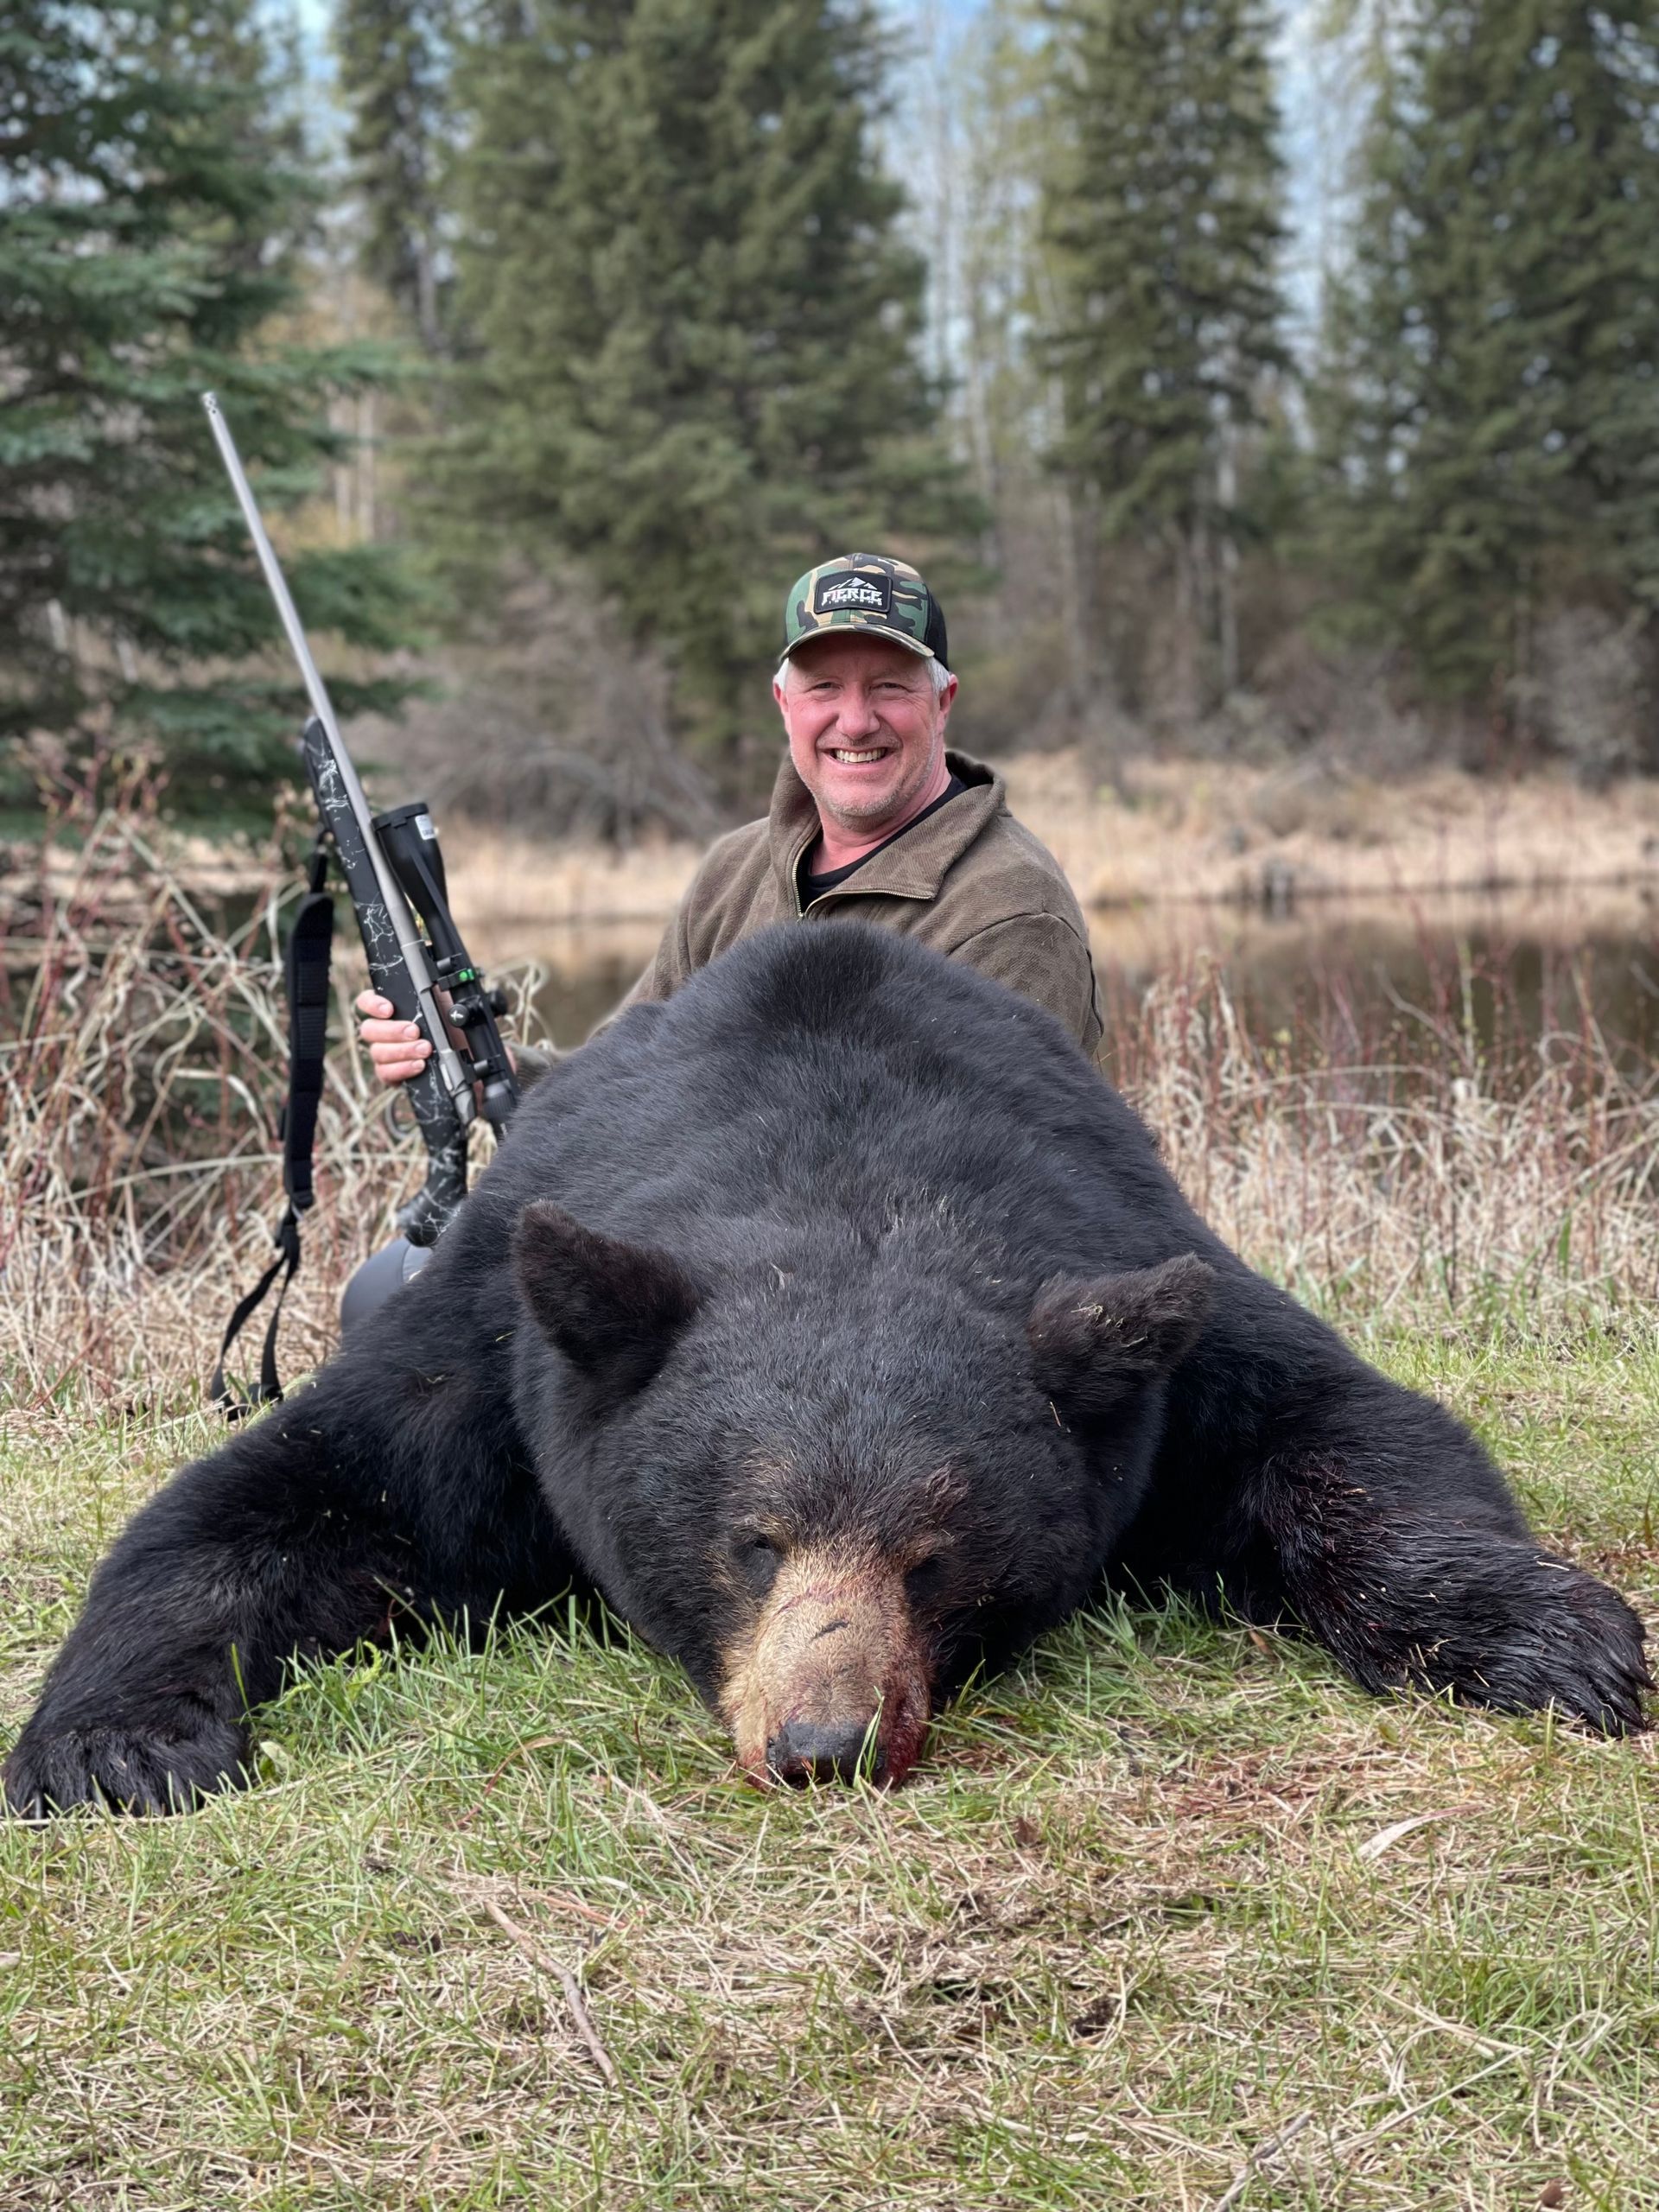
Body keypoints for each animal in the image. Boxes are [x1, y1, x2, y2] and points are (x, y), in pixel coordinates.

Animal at [4, 923, 1649, 1816]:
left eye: (936, 1555)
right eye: (753, 1539)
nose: (821, 1743)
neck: (843, 1164)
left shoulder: (1150, 1304)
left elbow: (1354, 1436)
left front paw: (1554, 1641)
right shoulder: (494, 1362)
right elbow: (263, 1506)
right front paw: (122, 1746)